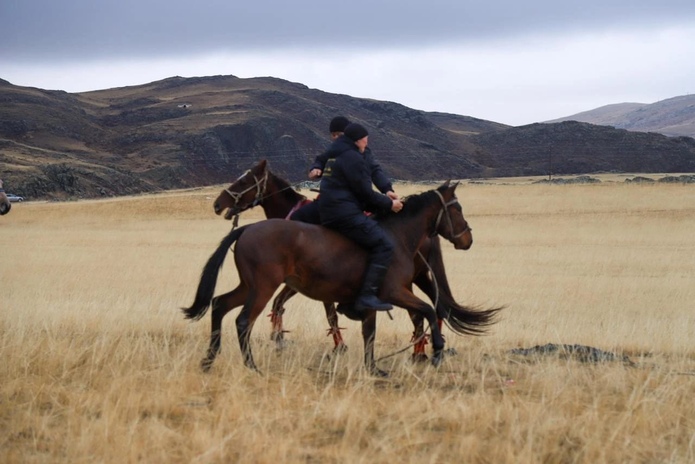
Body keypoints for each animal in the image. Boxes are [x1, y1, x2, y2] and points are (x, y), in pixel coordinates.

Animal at [184, 181, 500, 376]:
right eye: (457, 209)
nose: (468, 239)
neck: (396, 236)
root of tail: (247, 229)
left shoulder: (373, 300)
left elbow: (370, 333)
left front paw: (373, 369)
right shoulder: (393, 293)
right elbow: (427, 310)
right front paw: (436, 350)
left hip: (248, 286)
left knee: (219, 305)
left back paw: (209, 359)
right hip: (262, 288)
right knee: (242, 320)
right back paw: (250, 365)